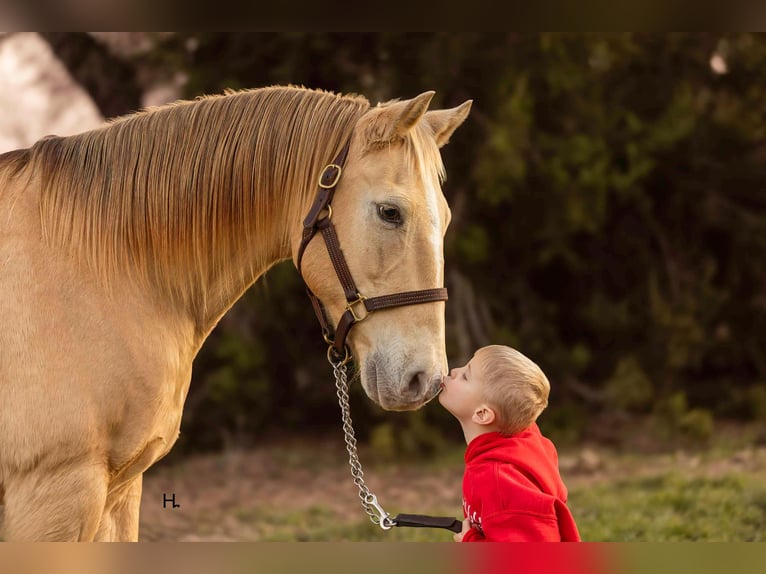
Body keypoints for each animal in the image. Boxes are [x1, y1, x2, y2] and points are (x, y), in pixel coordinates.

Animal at [0, 84, 474, 540]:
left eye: (448, 218)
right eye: (390, 212)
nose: (424, 379)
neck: (98, 266)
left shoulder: (120, 494)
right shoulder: (57, 495)